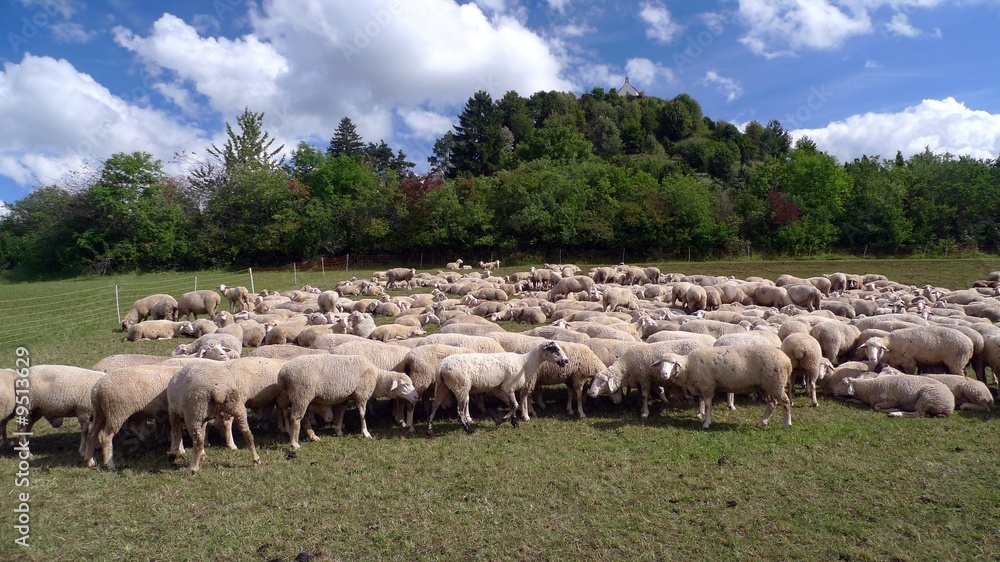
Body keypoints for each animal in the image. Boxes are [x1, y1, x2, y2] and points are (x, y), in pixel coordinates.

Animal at [276, 354, 420, 446]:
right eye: (404, 385)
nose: (416, 397)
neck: (377, 378)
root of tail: (282, 375)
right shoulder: (361, 395)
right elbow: (362, 415)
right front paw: (366, 433)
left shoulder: (347, 396)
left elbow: (341, 413)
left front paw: (338, 430)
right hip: (301, 394)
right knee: (295, 418)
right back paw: (294, 444)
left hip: (303, 397)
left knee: (304, 418)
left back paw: (313, 436)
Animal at [428, 336, 572, 434]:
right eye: (555, 349)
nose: (566, 361)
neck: (525, 364)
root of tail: (441, 368)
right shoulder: (508, 387)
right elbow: (515, 405)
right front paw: (500, 420)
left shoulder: (500, 389)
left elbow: (512, 405)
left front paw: (513, 422)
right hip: (460, 387)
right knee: (459, 411)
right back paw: (469, 429)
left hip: (442, 386)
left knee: (434, 406)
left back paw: (430, 431)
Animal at [656, 344, 796, 426]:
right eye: (661, 363)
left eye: (673, 363)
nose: (663, 374)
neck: (688, 366)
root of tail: (787, 361)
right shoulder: (702, 386)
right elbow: (701, 401)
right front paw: (700, 414)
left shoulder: (707, 386)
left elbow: (708, 404)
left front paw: (706, 423)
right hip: (766, 386)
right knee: (772, 404)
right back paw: (762, 422)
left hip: (776, 383)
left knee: (785, 402)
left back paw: (787, 424)